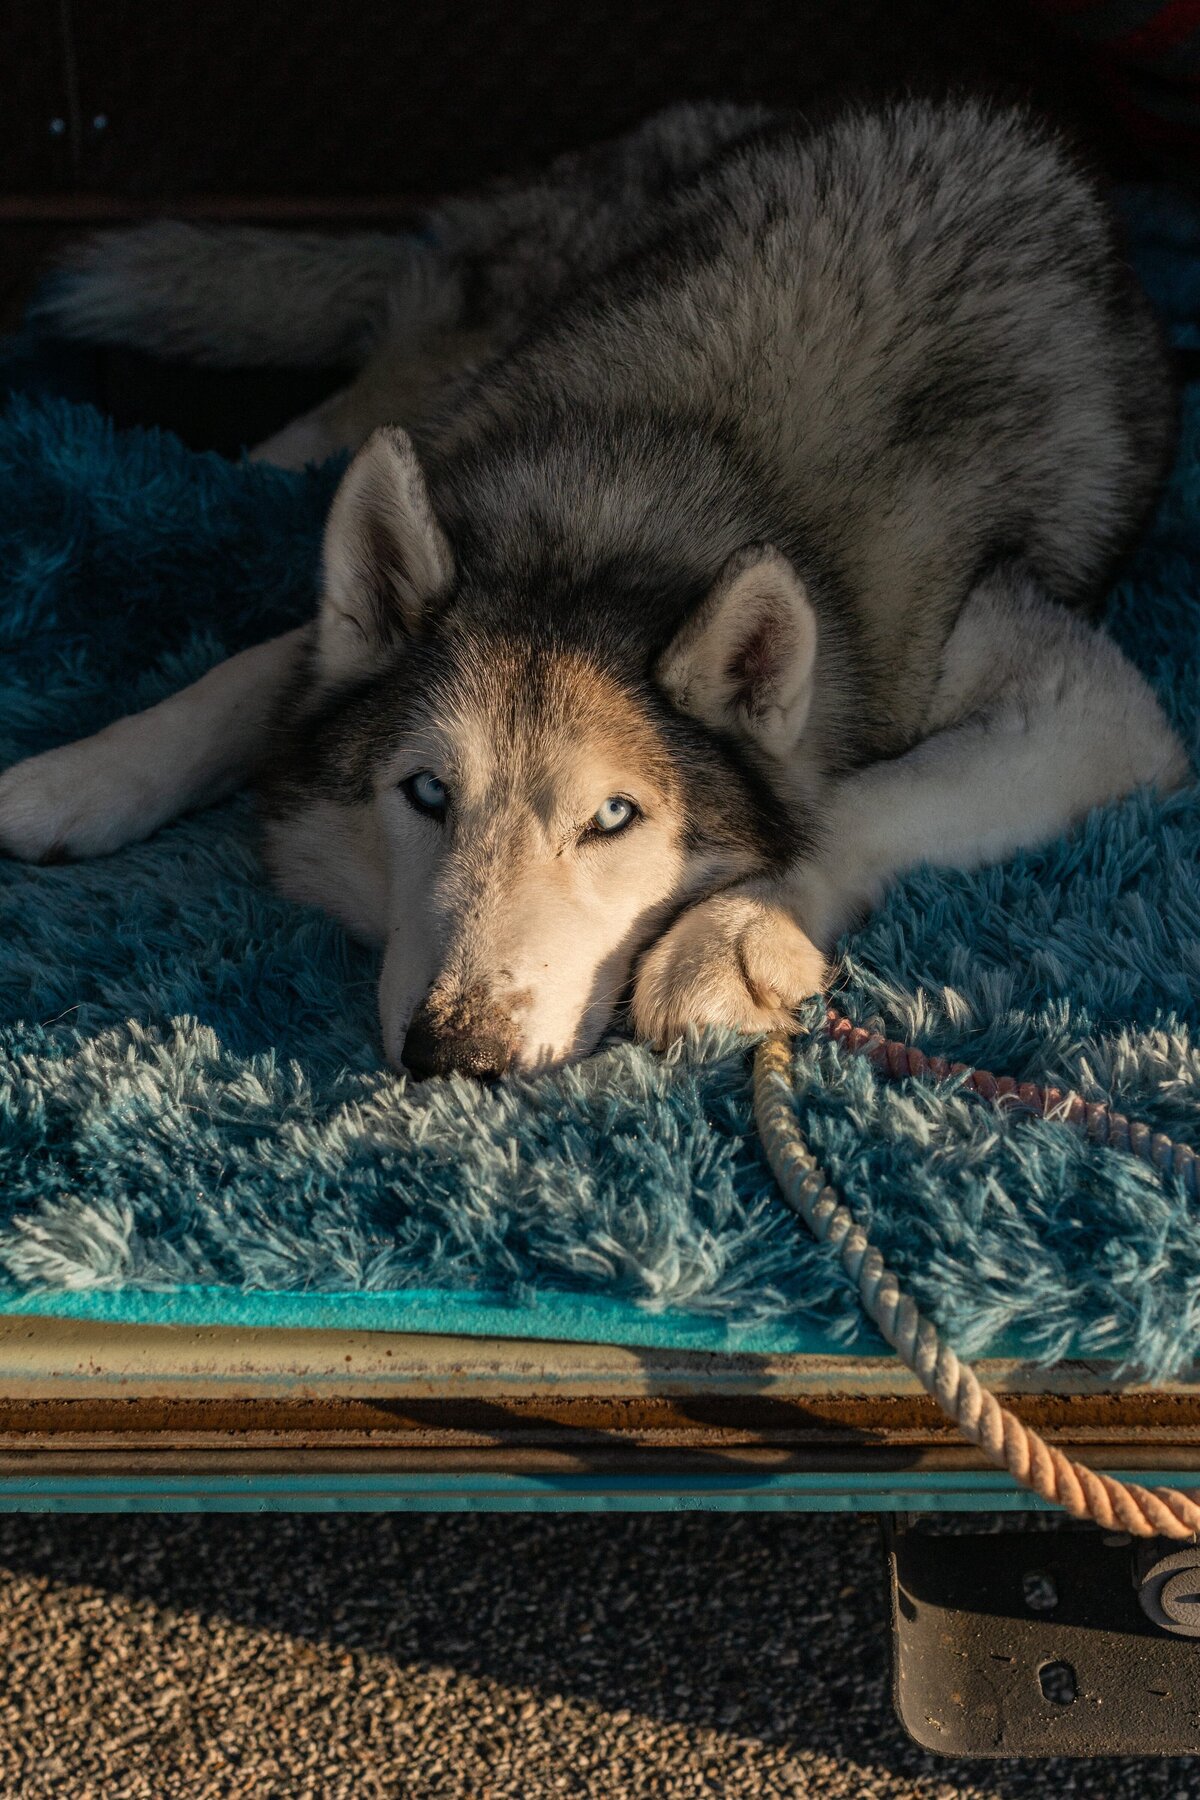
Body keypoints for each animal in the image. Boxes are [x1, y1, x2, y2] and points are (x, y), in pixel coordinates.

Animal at [0, 98, 1187, 1072]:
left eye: (614, 818)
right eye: (425, 793)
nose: (457, 1051)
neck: (613, 517)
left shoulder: (1086, 705)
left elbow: (855, 801)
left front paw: (731, 937)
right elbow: (244, 676)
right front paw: (76, 778)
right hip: (449, 371)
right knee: (327, 424)